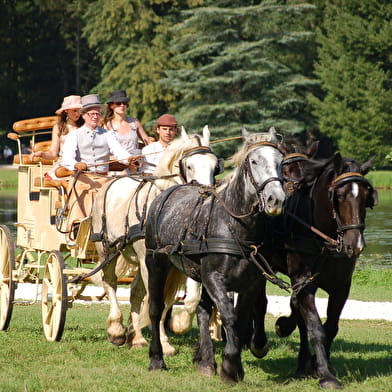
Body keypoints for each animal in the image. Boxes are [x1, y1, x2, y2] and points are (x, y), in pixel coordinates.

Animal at [90, 125, 222, 356]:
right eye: (189, 165)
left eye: (215, 167)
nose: (206, 195)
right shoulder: (150, 262)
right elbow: (156, 300)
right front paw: (163, 342)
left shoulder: (183, 264)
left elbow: (185, 300)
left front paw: (177, 326)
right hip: (107, 250)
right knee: (110, 283)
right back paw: (116, 330)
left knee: (135, 292)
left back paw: (137, 337)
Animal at [144, 128, 284, 380]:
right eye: (254, 161)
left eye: (281, 161)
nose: (276, 199)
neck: (235, 226)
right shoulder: (214, 278)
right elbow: (229, 315)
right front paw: (231, 366)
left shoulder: (250, 282)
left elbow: (239, 318)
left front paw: (230, 362)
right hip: (156, 262)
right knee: (156, 308)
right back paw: (157, 358)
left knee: (201, 309)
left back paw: (206, 361)